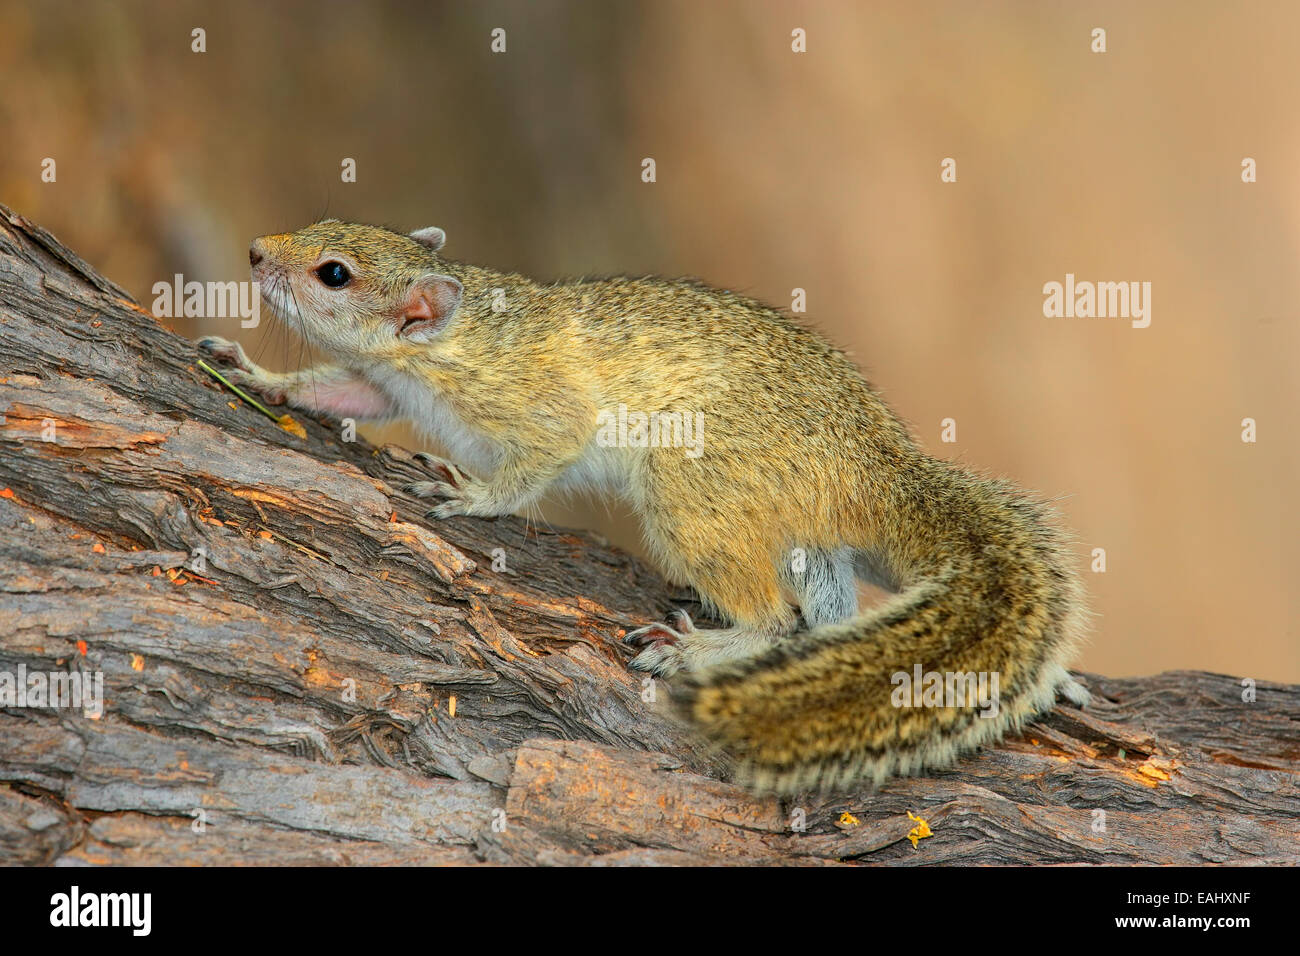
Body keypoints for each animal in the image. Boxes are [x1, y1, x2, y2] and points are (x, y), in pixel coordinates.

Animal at [197, 221, 1092, 796]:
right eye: (328, 220)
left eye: (334, 272)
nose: (254, 253)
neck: (448, 343)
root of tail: (870, 466)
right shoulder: (380, 385)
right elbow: (336, 391)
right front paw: (259, 373)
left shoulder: (535, 410)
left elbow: (528, 469)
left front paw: (469, 493)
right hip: (807, 545)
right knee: (817, 617)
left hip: (693, 490)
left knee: (774, 618)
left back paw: (700, 651)